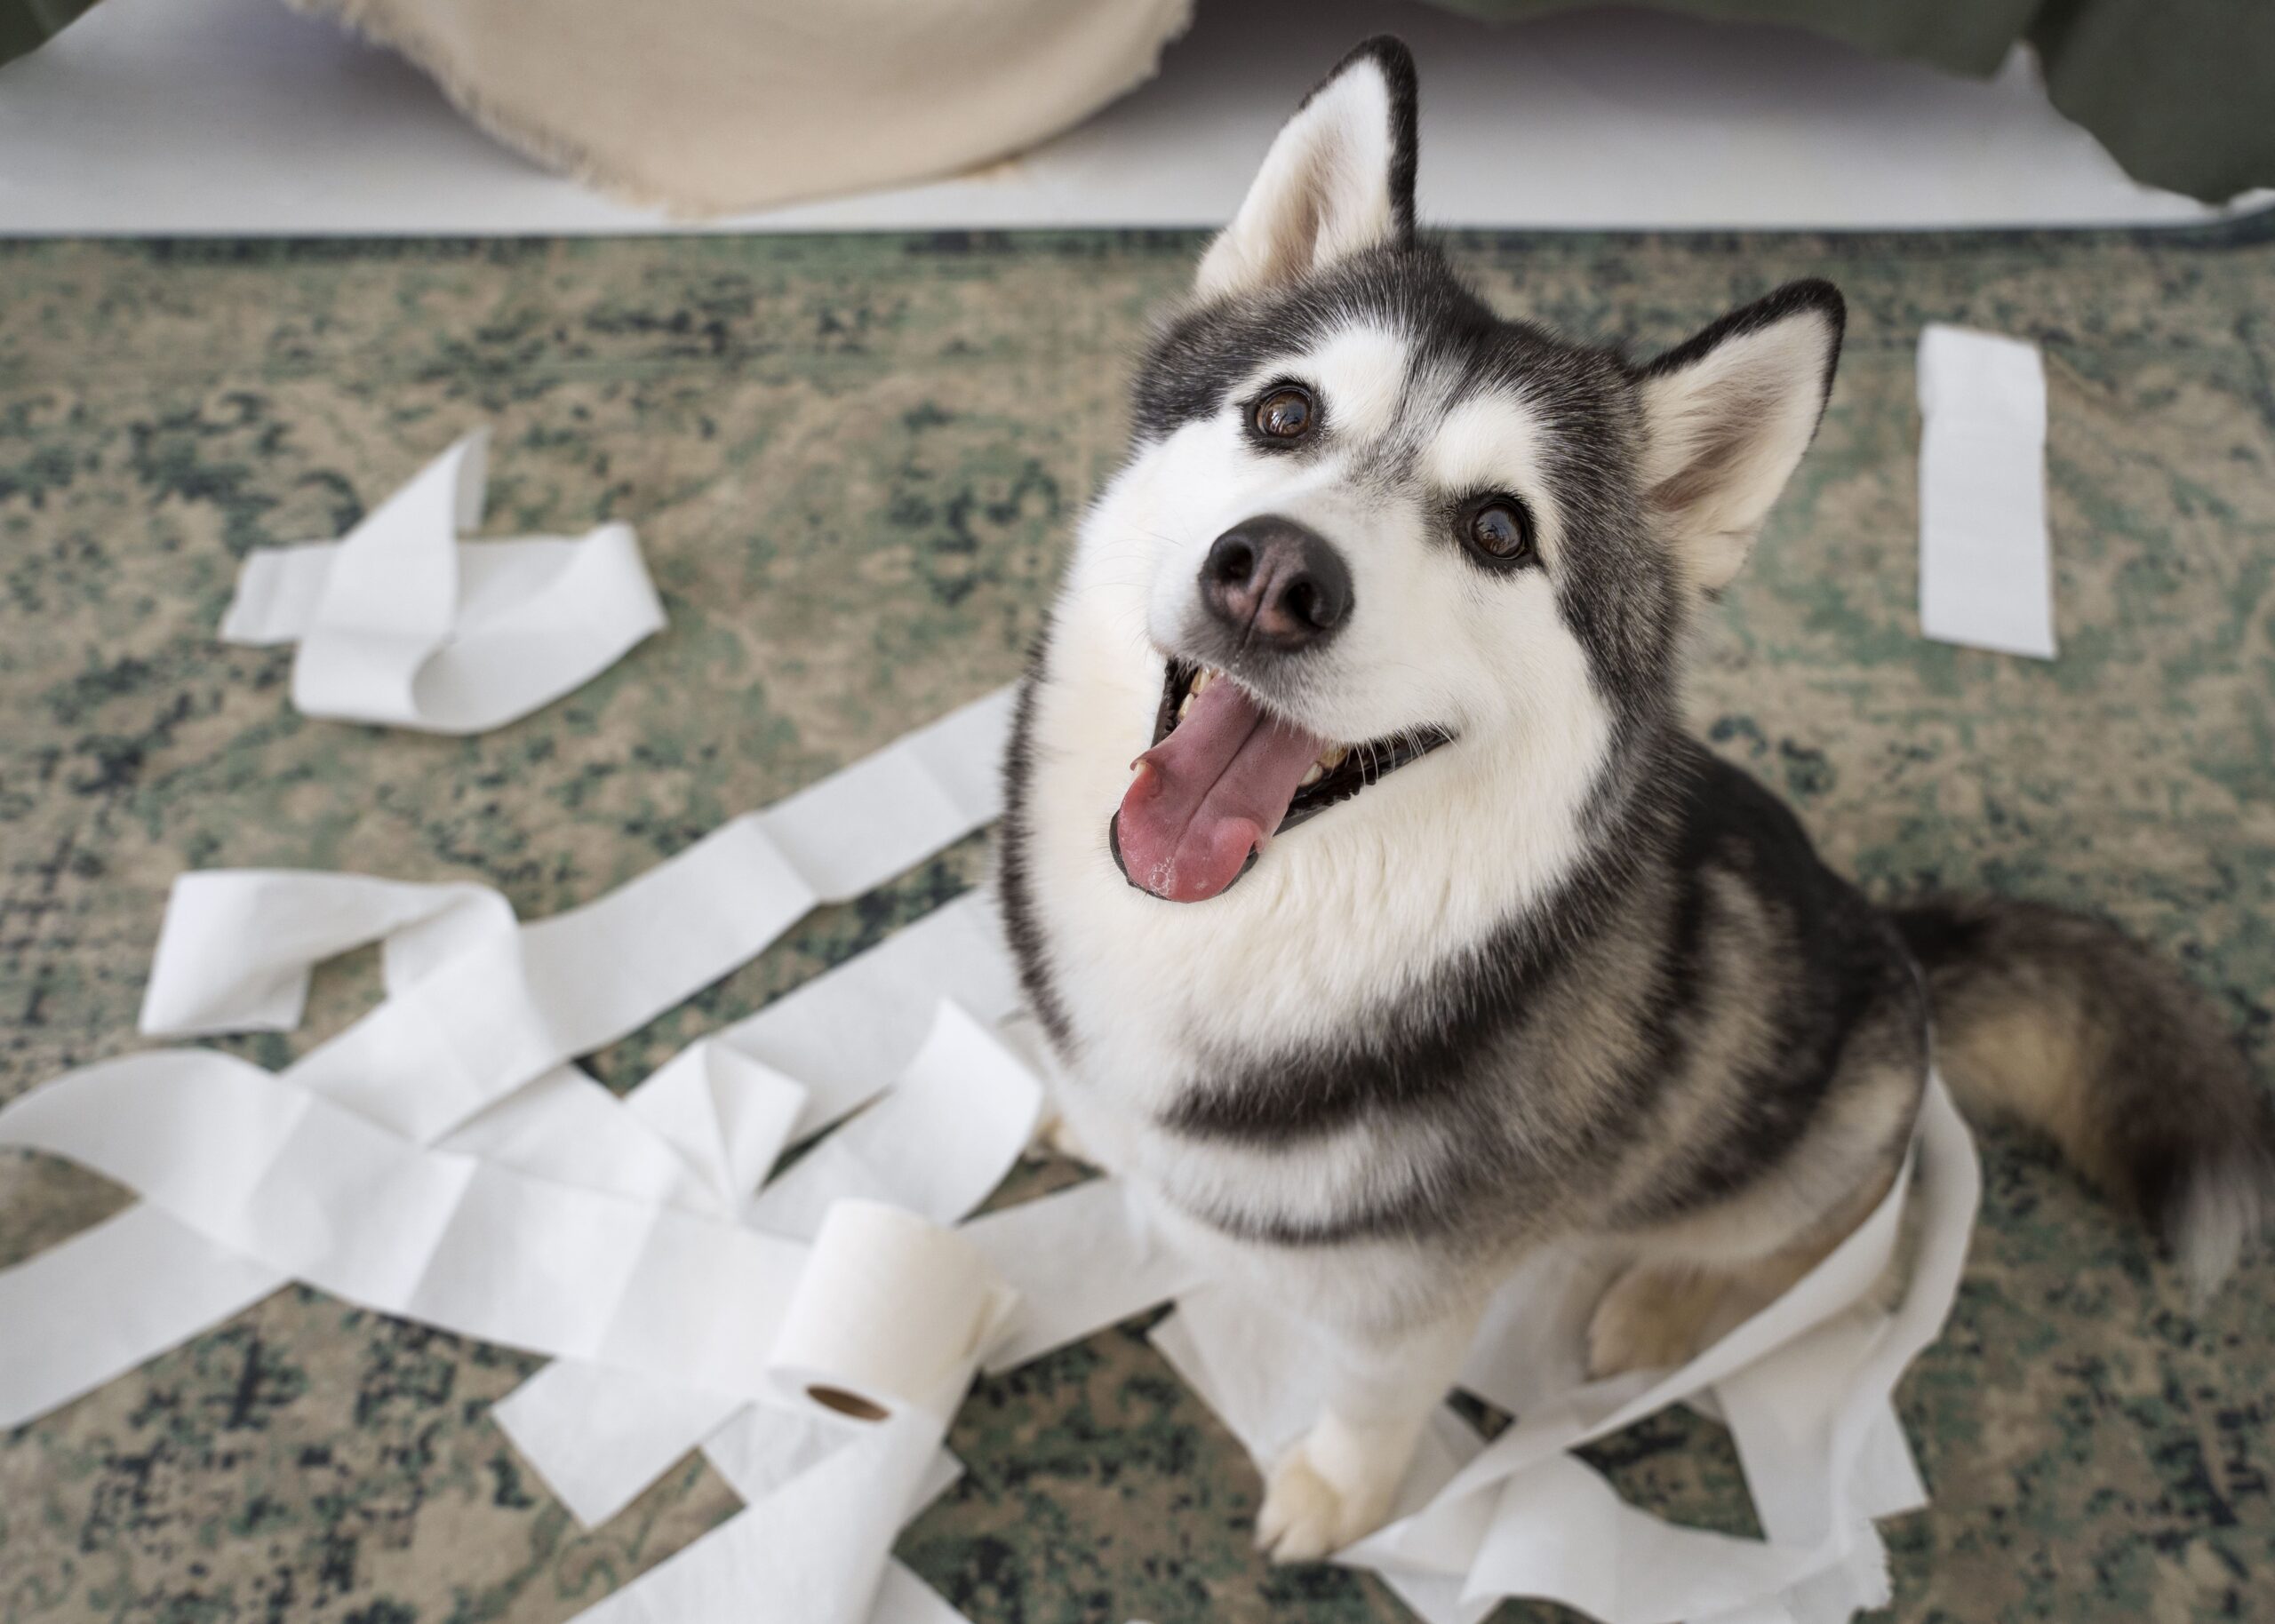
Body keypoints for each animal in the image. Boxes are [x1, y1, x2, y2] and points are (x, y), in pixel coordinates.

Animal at [996, 35, 2275, 1556]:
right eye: (1284, 414)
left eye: (1501, 530)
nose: (1274, 575)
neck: (1253, 929)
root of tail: (1900, 945)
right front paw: (1076, 1107)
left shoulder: (1408, 1302)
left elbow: (1371, 1403)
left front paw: (1341, 1502)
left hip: (1818, 1143)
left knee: (1853, 1247)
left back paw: (1671, 1302)